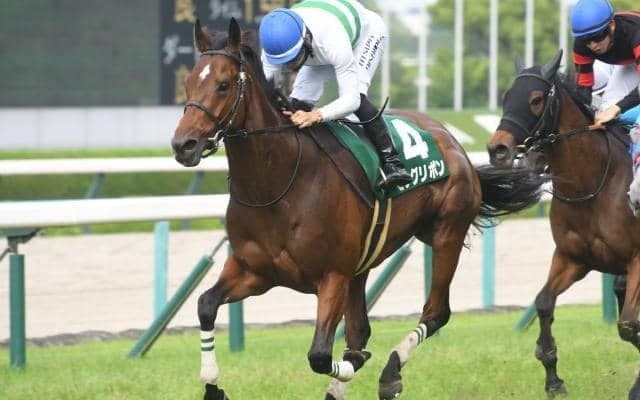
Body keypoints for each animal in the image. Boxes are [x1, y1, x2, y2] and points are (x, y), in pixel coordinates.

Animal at [171, 18, 546, 400]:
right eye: (187, 83)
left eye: (223, 84)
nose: (183, 144)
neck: (277, 185)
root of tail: (454, 144)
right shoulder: (254, 270)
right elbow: (205, 304)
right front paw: (213, 386)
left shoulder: (332, 275)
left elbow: (321, 355)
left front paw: (361, 366)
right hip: (363, 264)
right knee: (361, 329)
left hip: (446, 234)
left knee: (435, 312)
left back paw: (391, 371)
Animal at [487, 49, 640, 399]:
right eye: (506, 96)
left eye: (535, 99)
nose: (497, 149)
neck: (594, 185)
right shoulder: (572, 259)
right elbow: (544, 303)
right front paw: (553, 376)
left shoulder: (637, 259)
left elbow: (629, 326)